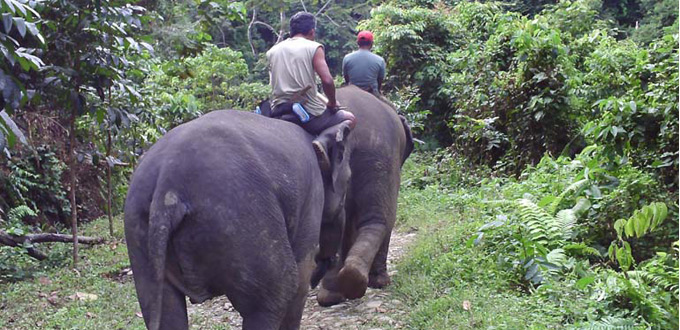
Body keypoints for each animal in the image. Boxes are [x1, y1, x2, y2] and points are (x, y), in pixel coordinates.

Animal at [123, 111, 354, 330]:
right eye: (349, 179)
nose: (327, 265)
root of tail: (167, 189)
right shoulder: (311, 198)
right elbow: (301, 277)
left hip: (138, 230)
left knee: (165, 310)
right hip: (240, 217)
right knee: (277, 292)